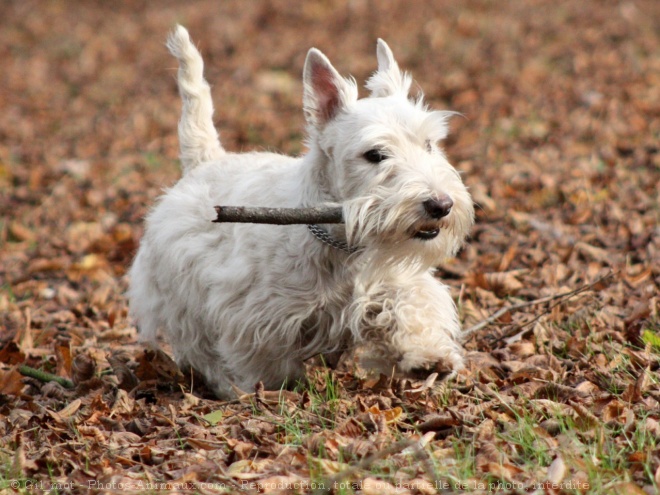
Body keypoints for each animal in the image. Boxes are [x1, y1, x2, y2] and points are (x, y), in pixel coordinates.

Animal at [130, 26, 474, 400]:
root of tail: (205, 160)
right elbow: (265, 362)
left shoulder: (392, 284)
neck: (343, 244)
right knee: (197, 346)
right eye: (375, 154)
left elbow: (410, 307)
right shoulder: (257, 317)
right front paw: (274, 391)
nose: (440, 205)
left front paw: (428, 356)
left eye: (429, 144)